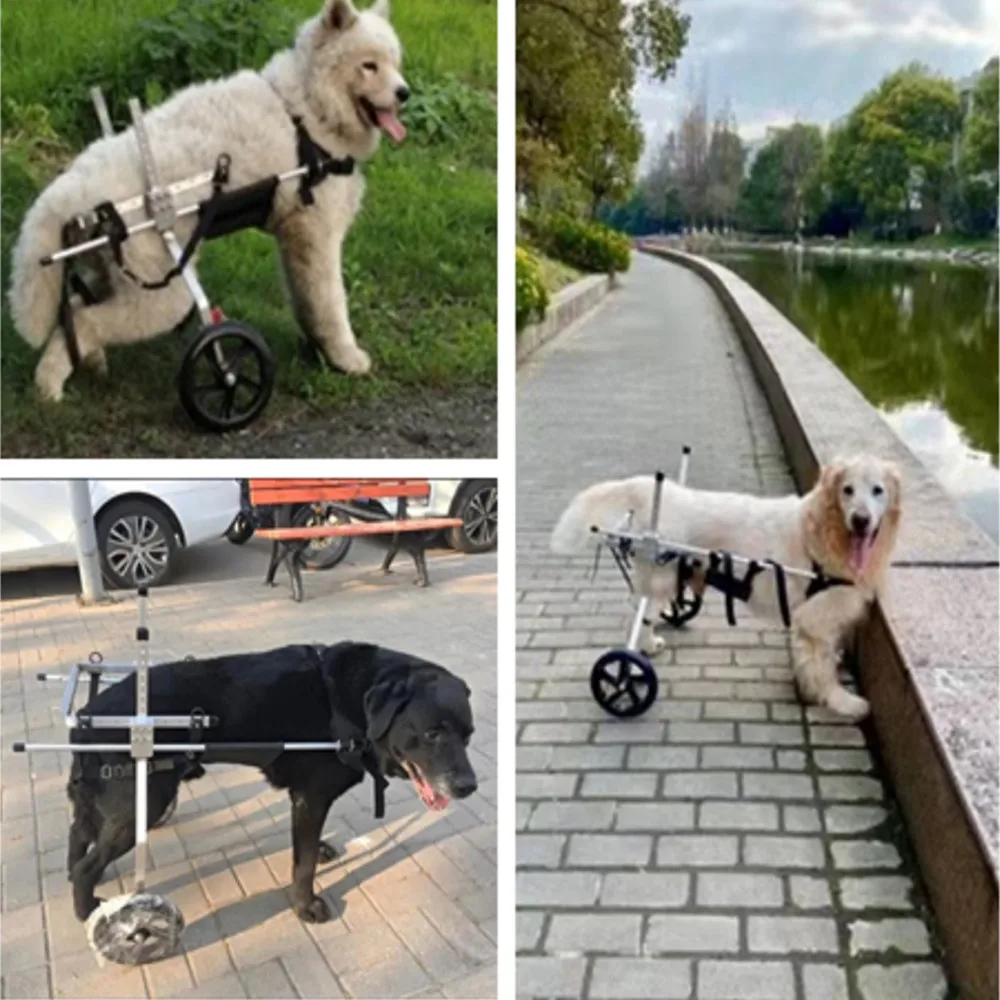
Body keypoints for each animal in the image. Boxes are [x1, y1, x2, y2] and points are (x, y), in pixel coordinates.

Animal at [7, 0, 406, 400]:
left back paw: (90, 364)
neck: (307, 109)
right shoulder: (317, 234)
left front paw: (317, 350)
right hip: (163, 295)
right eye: (369, 66)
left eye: (395, 62)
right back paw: (48, 390)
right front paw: (346, 358)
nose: (405, 93)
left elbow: (305, 300)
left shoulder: (294, 236)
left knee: (75, 310)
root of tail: (71, 188)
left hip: (120, 275)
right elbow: (330, 304)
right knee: (84, 319)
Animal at [68, 644, 478, 924]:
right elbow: (304, 864)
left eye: (468, 735)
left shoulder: (304, 799)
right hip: (145, 803)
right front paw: (305, 905)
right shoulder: (312, 797)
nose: (468, 786)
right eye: (432, 733)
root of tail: (85, 717)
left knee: (78, 839)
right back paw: (86, 910)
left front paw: (321, 851)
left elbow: (308, 847)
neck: (350, 704)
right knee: (87, 866)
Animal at [552, 458, 904, 724]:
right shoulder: (815, 621)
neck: (825, 533)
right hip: (661, 575)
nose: (861, 520)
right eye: (847, 490)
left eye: (878, 490)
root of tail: (652, 491)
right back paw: (634, 661)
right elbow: (824, 671)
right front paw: (843, 701)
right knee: (639, 615)